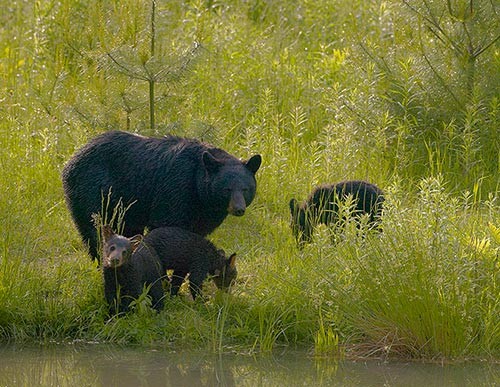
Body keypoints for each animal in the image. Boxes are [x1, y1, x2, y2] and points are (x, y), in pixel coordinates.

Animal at [62, 132, 262, 262]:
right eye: (226, 189)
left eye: (246, 188)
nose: (238, 209)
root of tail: (71, 159)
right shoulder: (175, 188)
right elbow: (165, 225)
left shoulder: (203, 213)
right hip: (92, 191)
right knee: (94, 229)